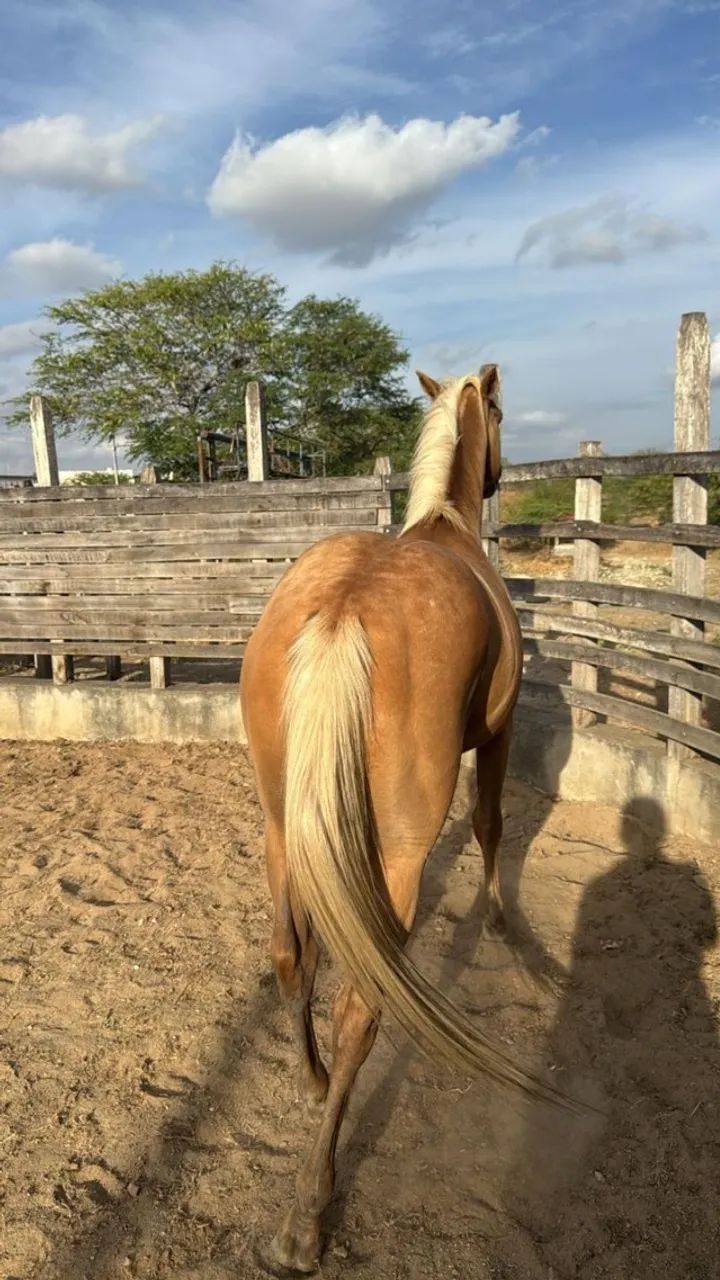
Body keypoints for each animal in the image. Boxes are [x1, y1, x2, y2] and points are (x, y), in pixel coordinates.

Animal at [240, 365, 565, 1272]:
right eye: (501, 413)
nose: (497, 472)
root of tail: (344, 606)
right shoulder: (499, 732)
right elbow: (490, 826)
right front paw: (503, 925)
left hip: (282, 827)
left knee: (291, 956)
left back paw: (312, 1080)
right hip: (398, 858)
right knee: (362, 1004)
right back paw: (306, 1216)